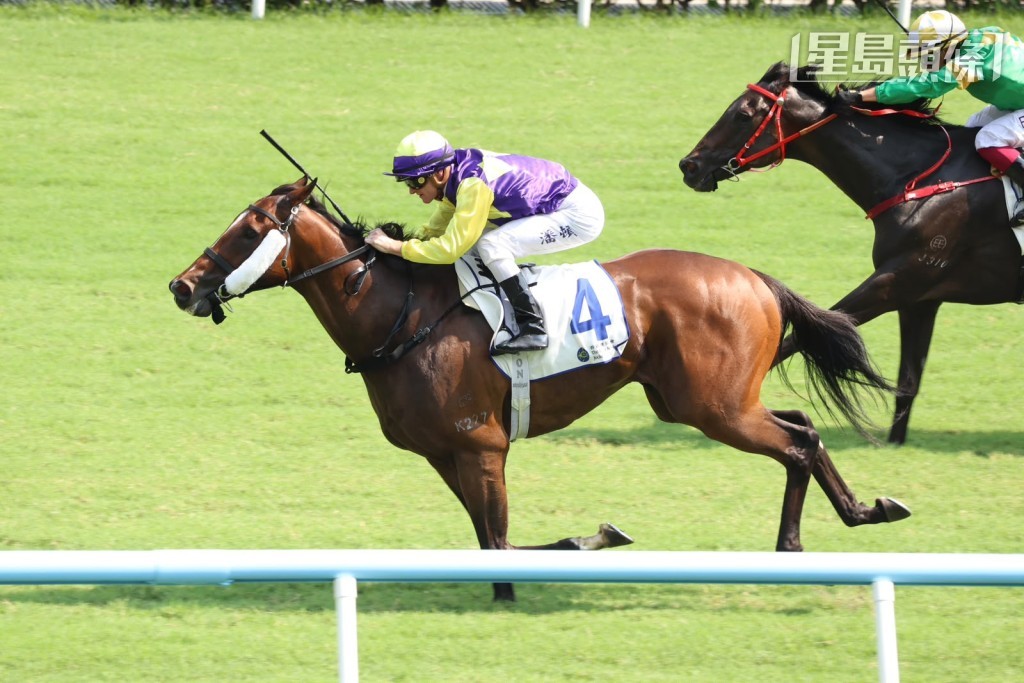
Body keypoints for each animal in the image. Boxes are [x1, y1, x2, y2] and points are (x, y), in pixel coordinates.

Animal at [168, 176, 911, 601]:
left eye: (249, 229)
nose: (181, 284)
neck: (399, 314)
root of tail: (755, 277)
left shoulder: (480, 444)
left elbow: (496, 541)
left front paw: (561, 557)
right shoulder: (445, 453)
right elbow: (486, 539)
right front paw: (572, 548)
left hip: (714, 407)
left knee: (796, 442)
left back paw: (809, 539)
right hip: (699, 400)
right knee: (801, 427)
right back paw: (846, 518)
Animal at [680, 62, 1023, 445]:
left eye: (742, 114)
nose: (689, 165)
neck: (920, 180)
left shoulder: (897, 280)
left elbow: (805, 334)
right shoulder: (920, 298)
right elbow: (908, 380)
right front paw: (895, 442)